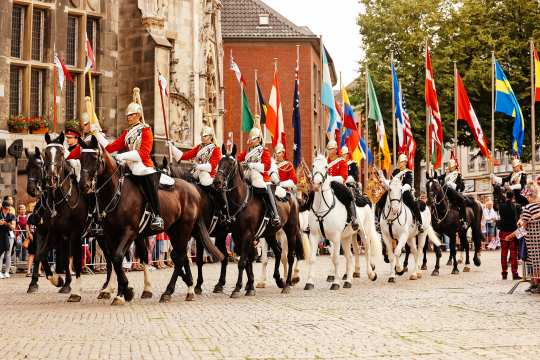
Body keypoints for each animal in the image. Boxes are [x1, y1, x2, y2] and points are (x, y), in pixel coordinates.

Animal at [77, 136, 223, 306]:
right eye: (81, 158)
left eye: (94, 157)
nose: (83, 185)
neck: (117, 192)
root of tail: (194, 191)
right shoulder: (110, 234)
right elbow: (115, 260)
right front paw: (123, 291)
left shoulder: (130, 232)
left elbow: (118, 257)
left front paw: (124, 292)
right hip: (174, 231)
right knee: (179, 256)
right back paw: (187, 287)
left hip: (184, 229)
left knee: (180, 257)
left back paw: (172, 291)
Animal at [212, 145, 304, 296]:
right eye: (219, 162)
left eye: (231, 164)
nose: (217, 182)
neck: (241, 200)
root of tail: (292, 196)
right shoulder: (238, 235)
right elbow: (246, 260)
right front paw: (249, 286)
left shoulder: (247, 234)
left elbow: (243, 262)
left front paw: (238, 288)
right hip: (270, 233)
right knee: (278, 251)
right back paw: (279, 280)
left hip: (290, 231)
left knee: (290, 256)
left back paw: (287, 284)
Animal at [306, 155, 382, 290]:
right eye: (313, 165)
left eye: (326, 166)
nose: (316, 184)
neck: (322, 206)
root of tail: (365, 198)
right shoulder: (315, 235)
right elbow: (313, 258)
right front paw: (309, 282)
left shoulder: (335, 237)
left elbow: (336, 259)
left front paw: (335, 283)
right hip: (348, 236)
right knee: (351, 255)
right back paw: (349, 279)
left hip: (363, 232)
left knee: (367, 250)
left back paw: (371, 273)